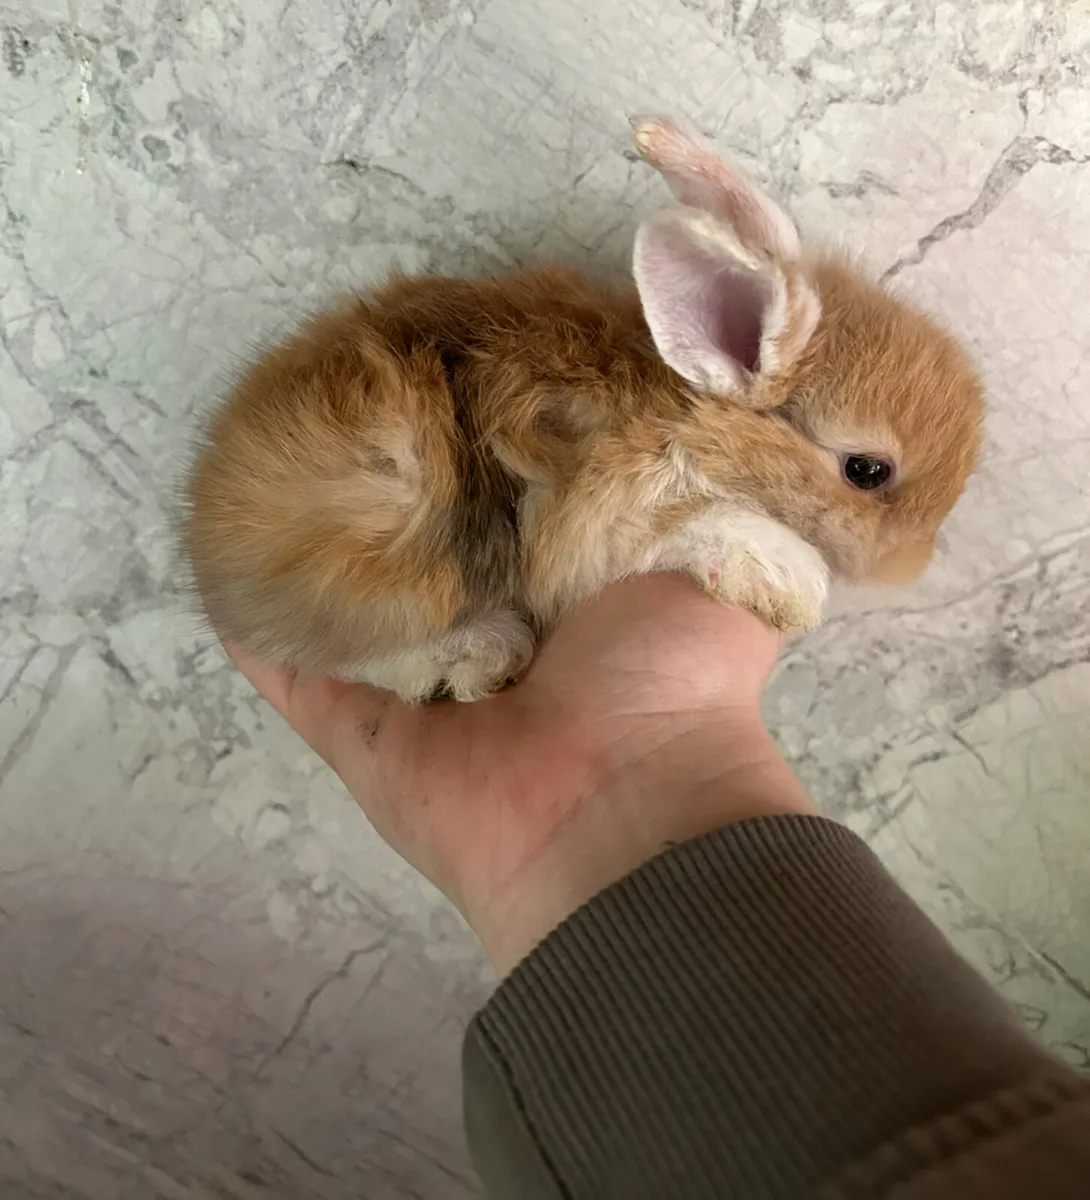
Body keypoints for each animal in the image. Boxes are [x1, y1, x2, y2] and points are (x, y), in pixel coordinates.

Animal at [184, 115, 983, 703]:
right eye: (867, 470)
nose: (913, 566)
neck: (688, 418)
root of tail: (204, 540)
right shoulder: (600, 526)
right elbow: (691, 532)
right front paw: (784, 576)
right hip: (387, 532)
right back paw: (480, 653)